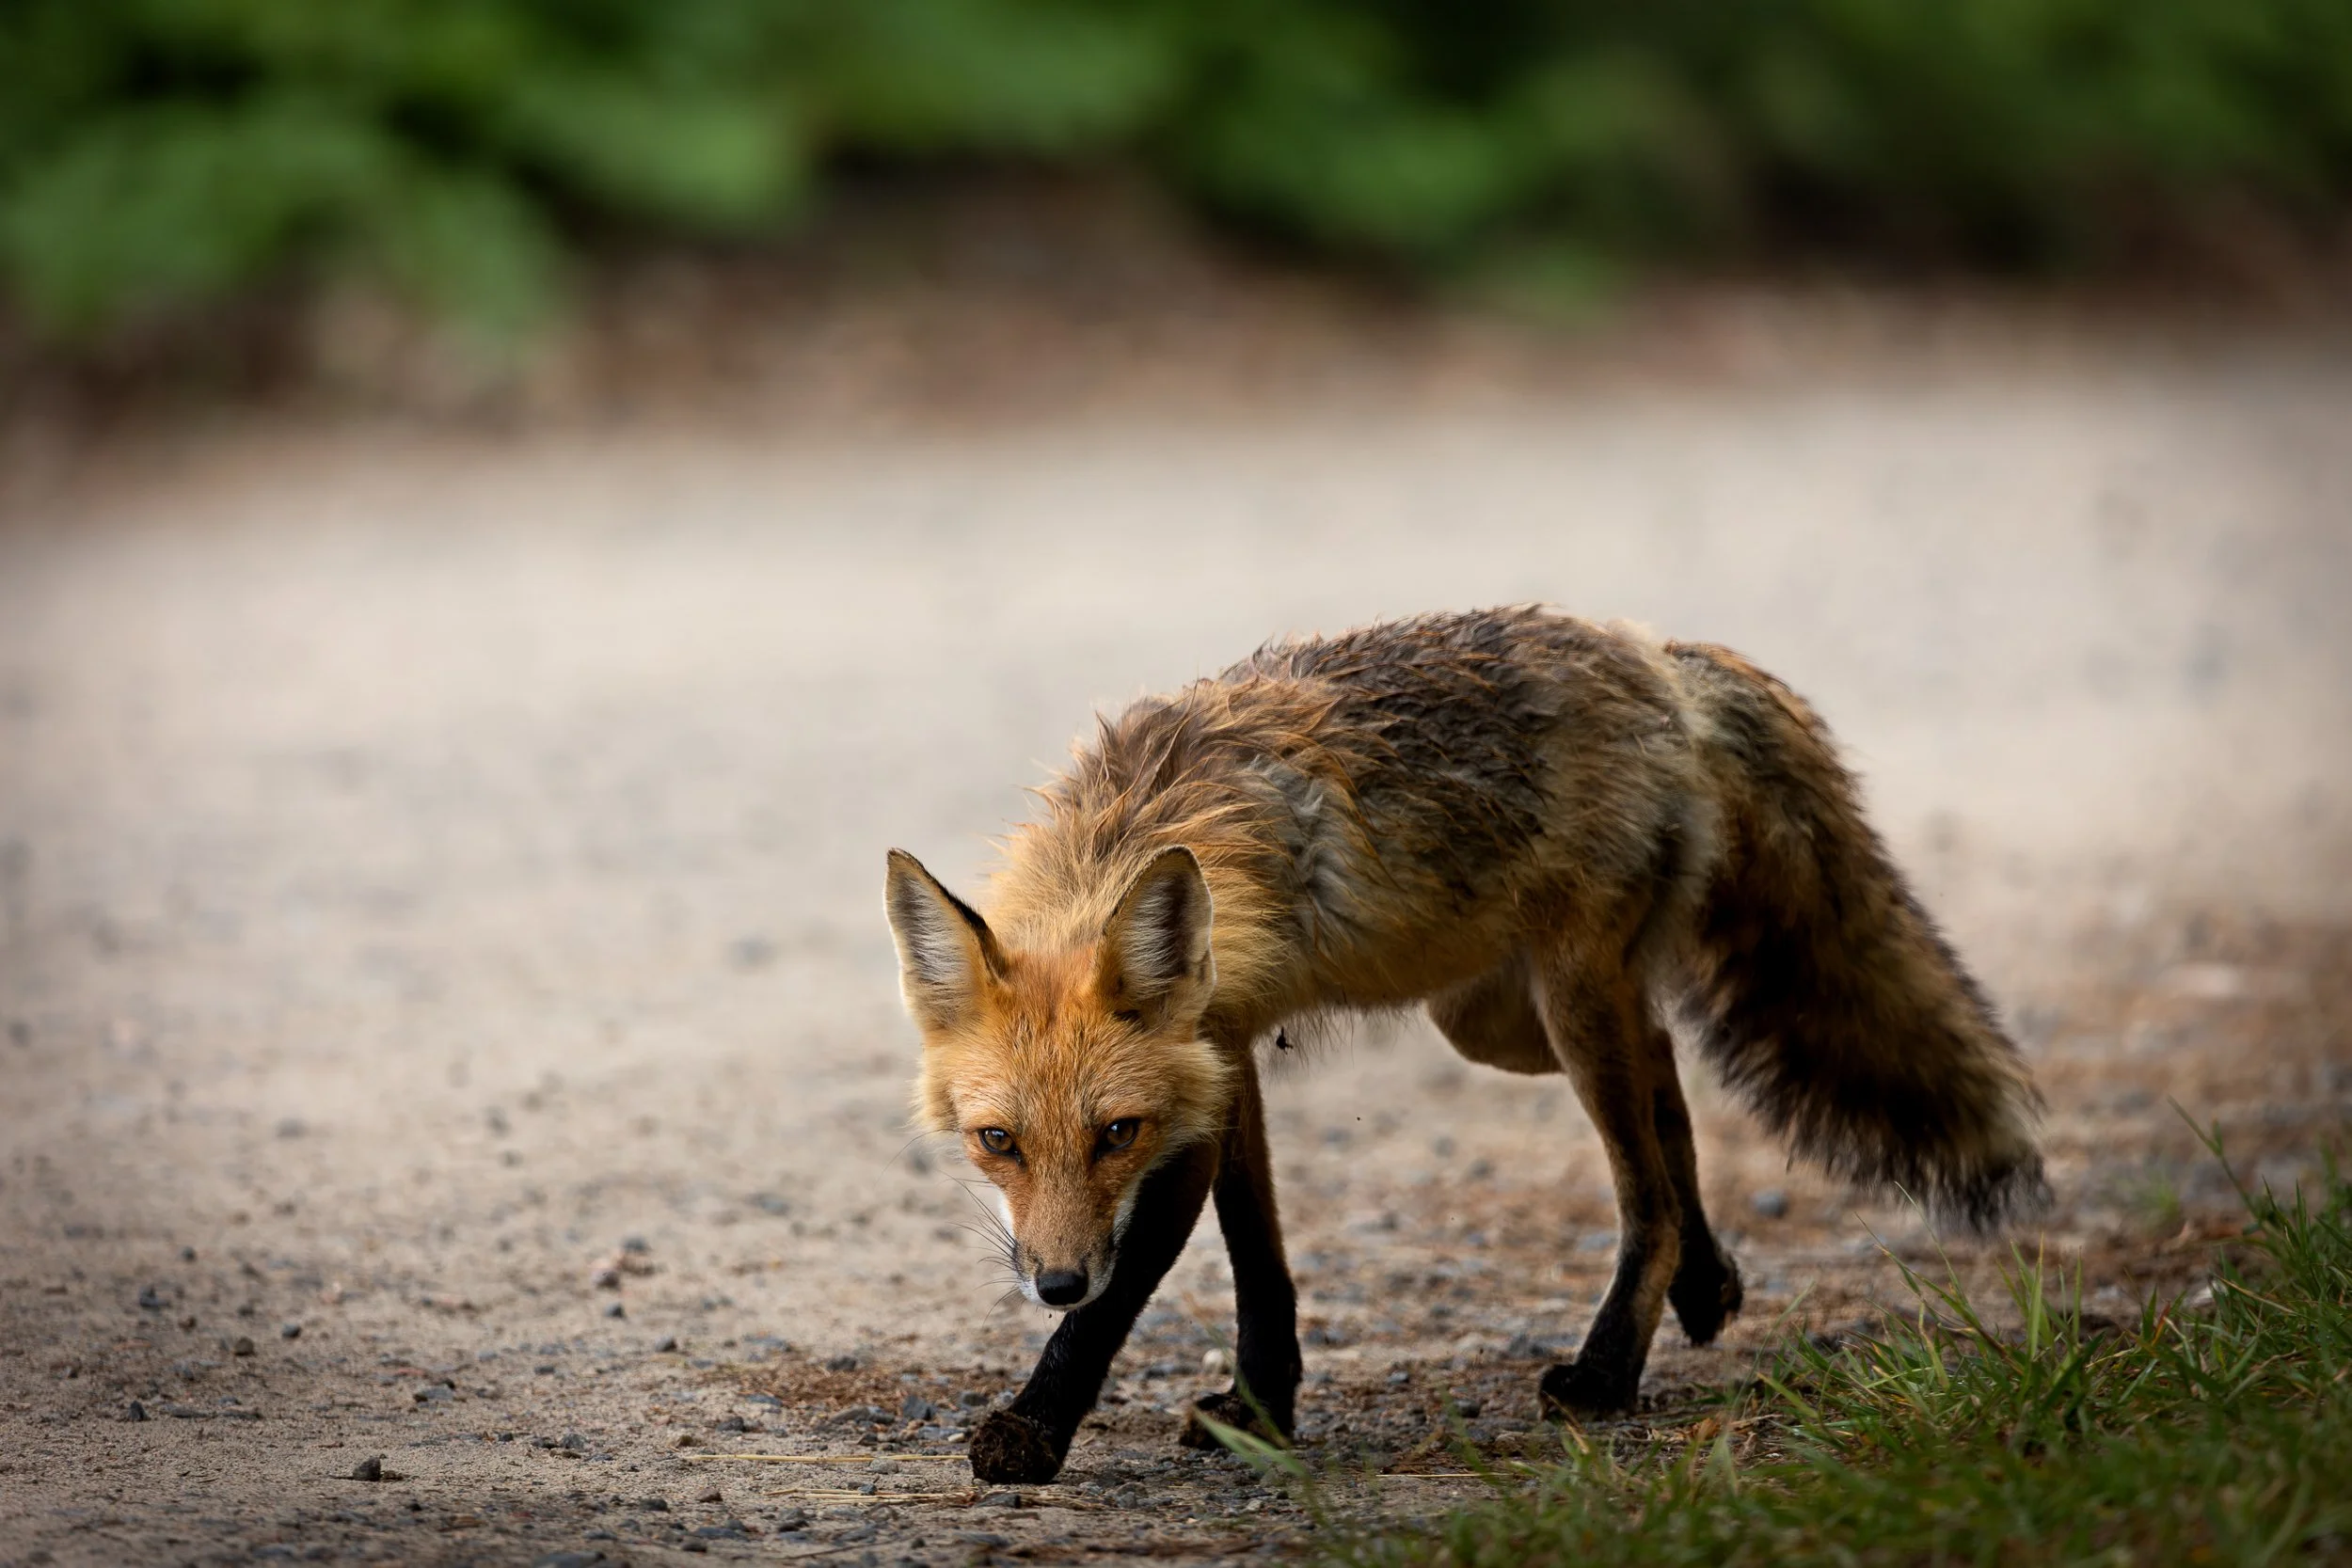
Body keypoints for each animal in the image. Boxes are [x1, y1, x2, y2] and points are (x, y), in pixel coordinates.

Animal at [885, 606, 2045, 1485]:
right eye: (997, 1141)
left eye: (1114, 1133)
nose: (1053, 1282)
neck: (1133, 825)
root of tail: (1654, 655)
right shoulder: (1224, 1059)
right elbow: (1261, 1257)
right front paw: (1263, 1404)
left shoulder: (1189, 1104)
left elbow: (1134, 1289)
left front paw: (1034, 1427)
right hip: (1501, 1020)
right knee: (1666, 1064)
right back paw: (1707, 1285)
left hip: (1570, 998)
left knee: (1647, 1190)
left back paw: (1607, 1371)